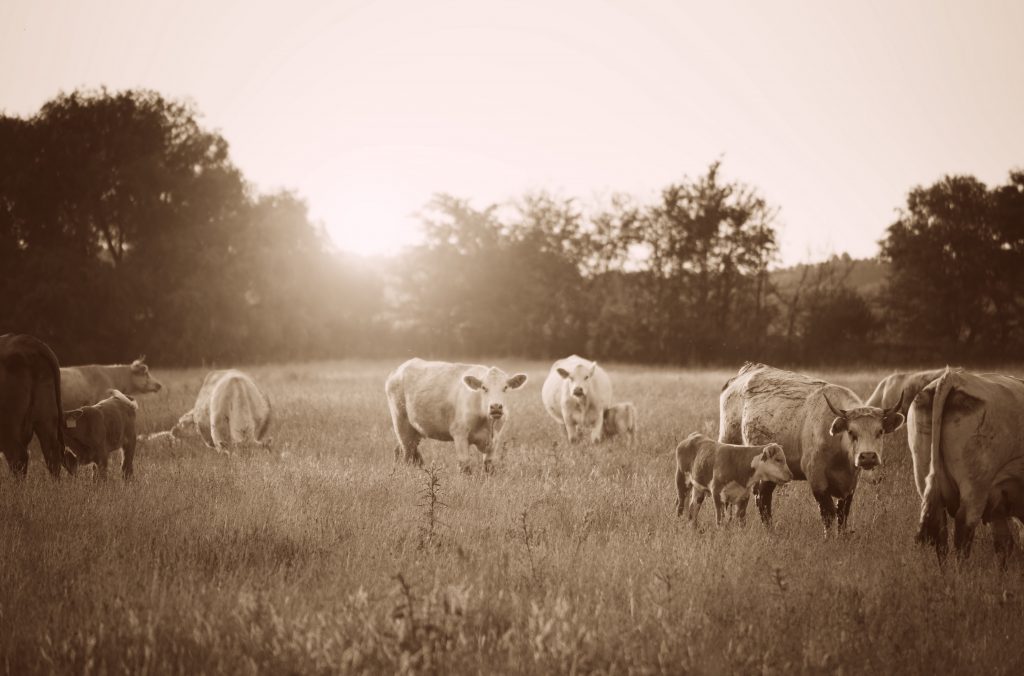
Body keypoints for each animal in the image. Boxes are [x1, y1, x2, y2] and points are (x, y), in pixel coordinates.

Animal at [385, 356, 528, 473]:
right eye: (483, 387)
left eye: (505, 387)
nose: (496, 407)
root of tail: (398, 370)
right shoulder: (459, 433)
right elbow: (465, 467)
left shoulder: (495, 440)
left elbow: (489, 467)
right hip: (401, 423)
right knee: (407, 454)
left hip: (414, 430)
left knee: (406, 451)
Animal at [720, 362, 905, 536]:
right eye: (852, 432)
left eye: (879, 432)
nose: (867, 456)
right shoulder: (816, 478)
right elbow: (828, 513)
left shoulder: (851, 483)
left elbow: (843, 514)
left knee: (762, 497)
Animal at [913, 366, 1024, 561]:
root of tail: (954, 376)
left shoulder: (998, 503)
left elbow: (1004, 543)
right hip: (976, 485)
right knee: (963, 532)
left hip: (923, 475)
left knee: (941, 535)